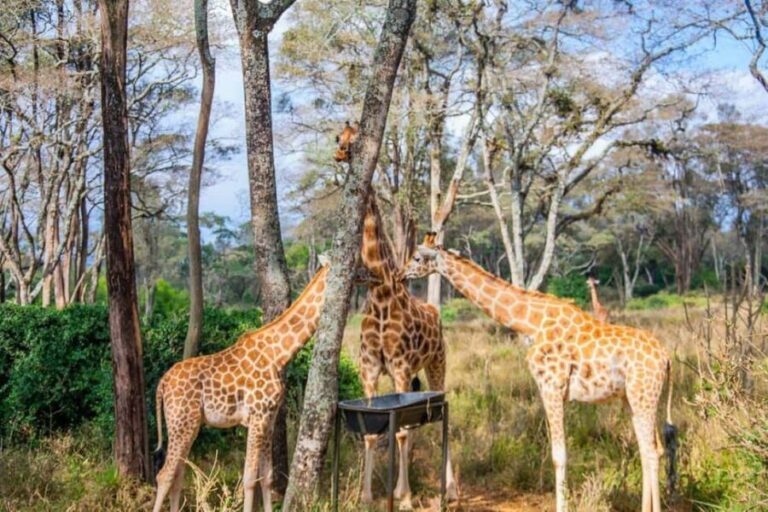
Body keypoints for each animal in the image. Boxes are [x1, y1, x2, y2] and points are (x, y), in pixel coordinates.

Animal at [151, 262, 330, 512]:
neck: (279, 355)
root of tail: (163, 383)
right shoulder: (257, 416)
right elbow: (249, 478)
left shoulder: (268, 418)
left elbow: (267, 477)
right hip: (182, 421)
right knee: (165, 475)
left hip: (188, 424)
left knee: (177, 474)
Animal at [357, 197, 457, 510]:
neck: (381, 296)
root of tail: (435, 311)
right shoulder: (370, 370)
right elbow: (370, 433)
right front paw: (367, 496)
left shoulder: (400, 367)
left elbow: (398, 432)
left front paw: (406, 499)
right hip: (406, 376)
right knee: (411, 421)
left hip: (436, 364)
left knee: (442, 418)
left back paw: (450, 489)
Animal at [402, 233, 676, 512]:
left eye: (417, 257)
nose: (402, 274)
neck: (531, 323)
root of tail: (666, 358)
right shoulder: (552, 389)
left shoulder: (551, 386)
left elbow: (559, 456)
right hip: (633, 398)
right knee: (650, 448)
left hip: (644, 396)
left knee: (651, 450)